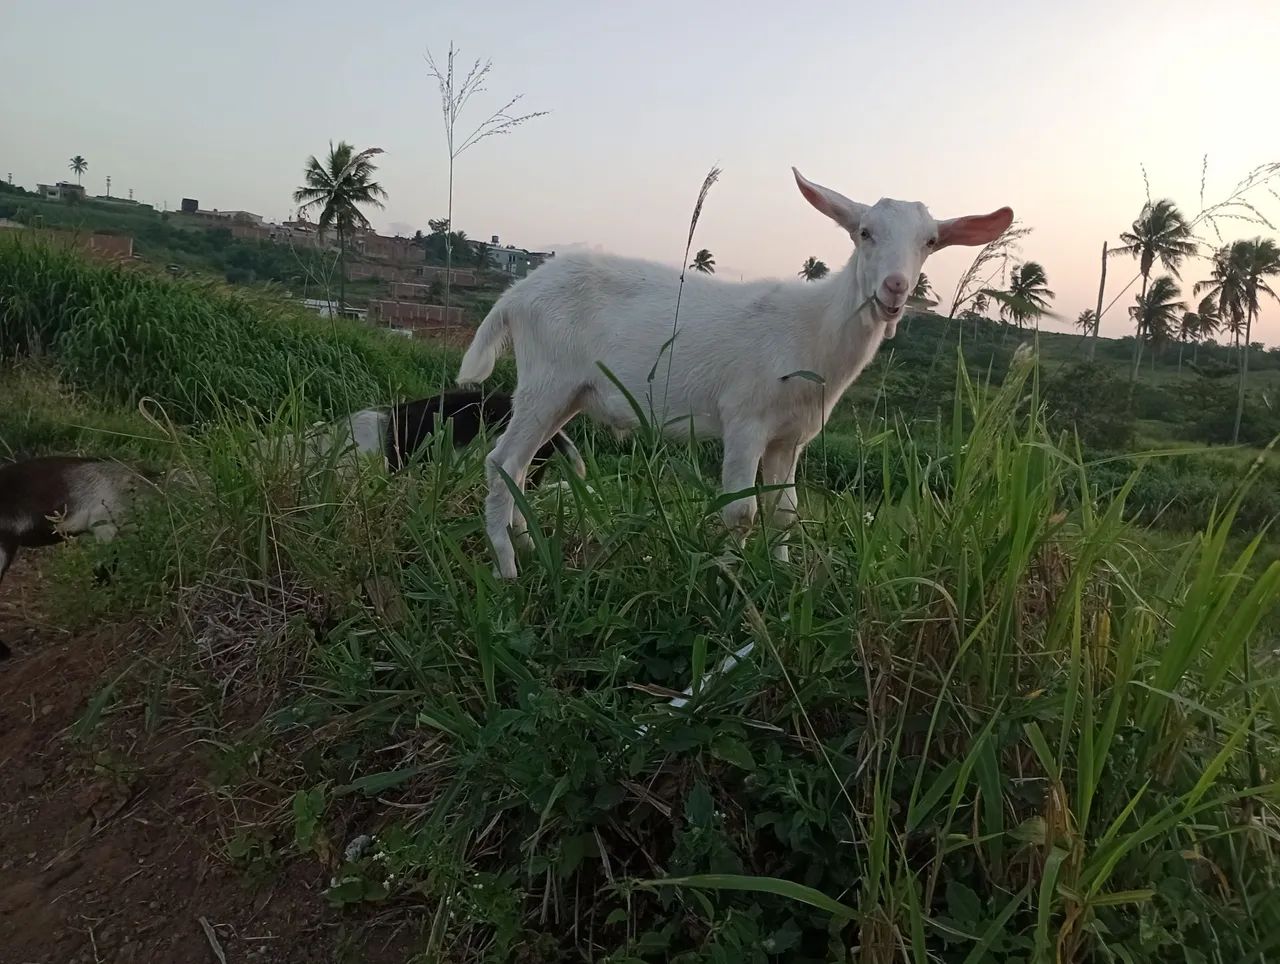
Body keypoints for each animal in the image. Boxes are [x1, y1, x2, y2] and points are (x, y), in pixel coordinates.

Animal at [456, 167, 1012, 578]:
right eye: (864, 233)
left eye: (931, 241)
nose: (895, 288)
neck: (813, 329)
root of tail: (516, 295)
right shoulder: (746, 419)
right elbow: (740, 513)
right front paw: (728, 582)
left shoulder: (790, 437)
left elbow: (786, 514)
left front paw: (784, 580)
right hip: (546, 379)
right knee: (501, 460)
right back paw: (507, 567)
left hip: (568, 392)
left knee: (520, 465)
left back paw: (527, 544)